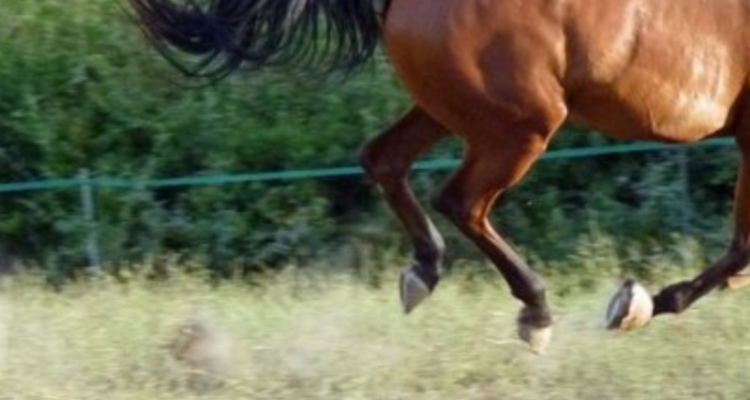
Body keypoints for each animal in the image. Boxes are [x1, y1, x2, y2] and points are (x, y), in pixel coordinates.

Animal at [125, 0, 750, 352]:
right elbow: (741, 249)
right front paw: (638, 304)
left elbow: (740, 250)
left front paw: (644, 303)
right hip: (520, 126)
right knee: (460, 201)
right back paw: (535, 311)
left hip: (451, 109)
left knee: (383, 159)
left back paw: (424, 271)